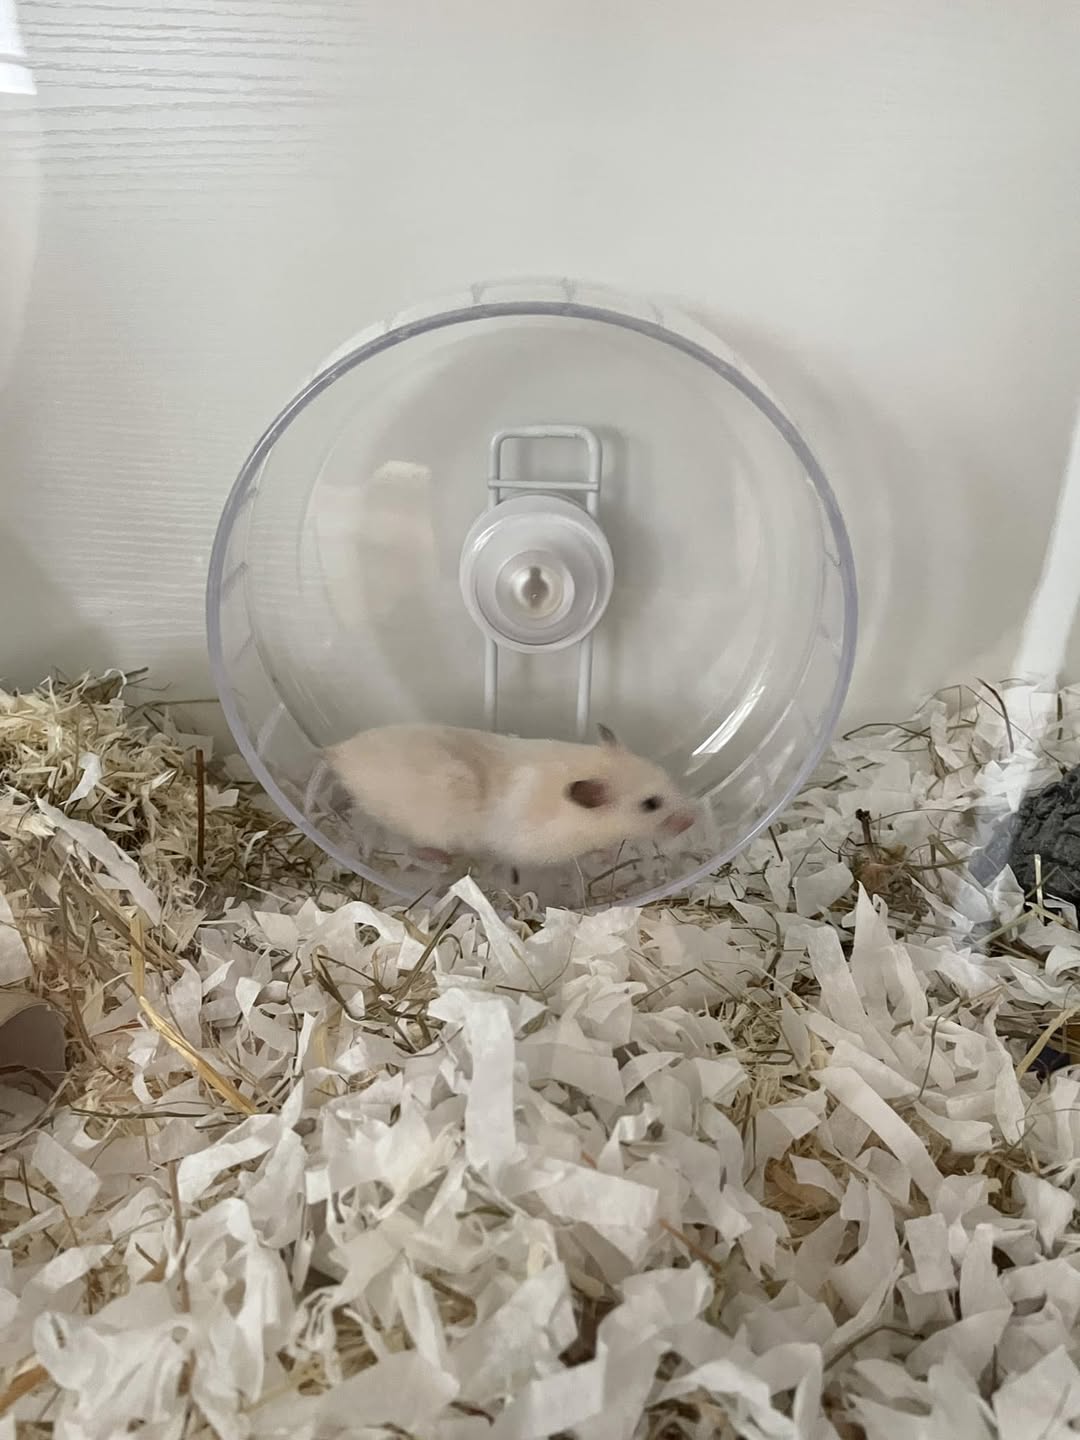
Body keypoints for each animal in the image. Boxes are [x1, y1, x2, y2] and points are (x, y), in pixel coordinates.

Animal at [325, 722, 697, 868]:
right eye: (651, 804)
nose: (692, 821)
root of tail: (336, 752)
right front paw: (604, 856)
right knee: (415, 846)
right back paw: (442, 859)